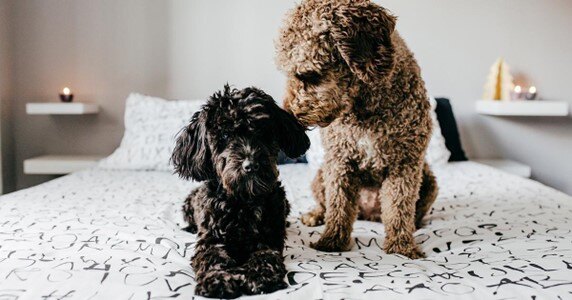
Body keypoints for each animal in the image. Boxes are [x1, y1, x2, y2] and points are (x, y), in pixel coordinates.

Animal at [172, 85, 310, 298]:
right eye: (224, 136)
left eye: (262, 130)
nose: (250, 165)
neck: (244, 200)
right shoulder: (210, 241)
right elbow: (212, 259)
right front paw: (217, 279)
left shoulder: (269, 240)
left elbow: (265, 256)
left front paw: (260, 276)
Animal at [274, 0, 436, 258]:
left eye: (307, 75)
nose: (289, 115)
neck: (365, 108)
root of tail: (367, 213)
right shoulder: (340, 160)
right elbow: (338, 206)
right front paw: (332, 241)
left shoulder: (406, 163)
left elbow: (399, 208)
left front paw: (401, 246)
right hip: (321, 175)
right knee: (326, 205)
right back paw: (315, 215)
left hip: (428, 180)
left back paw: (415, 226)